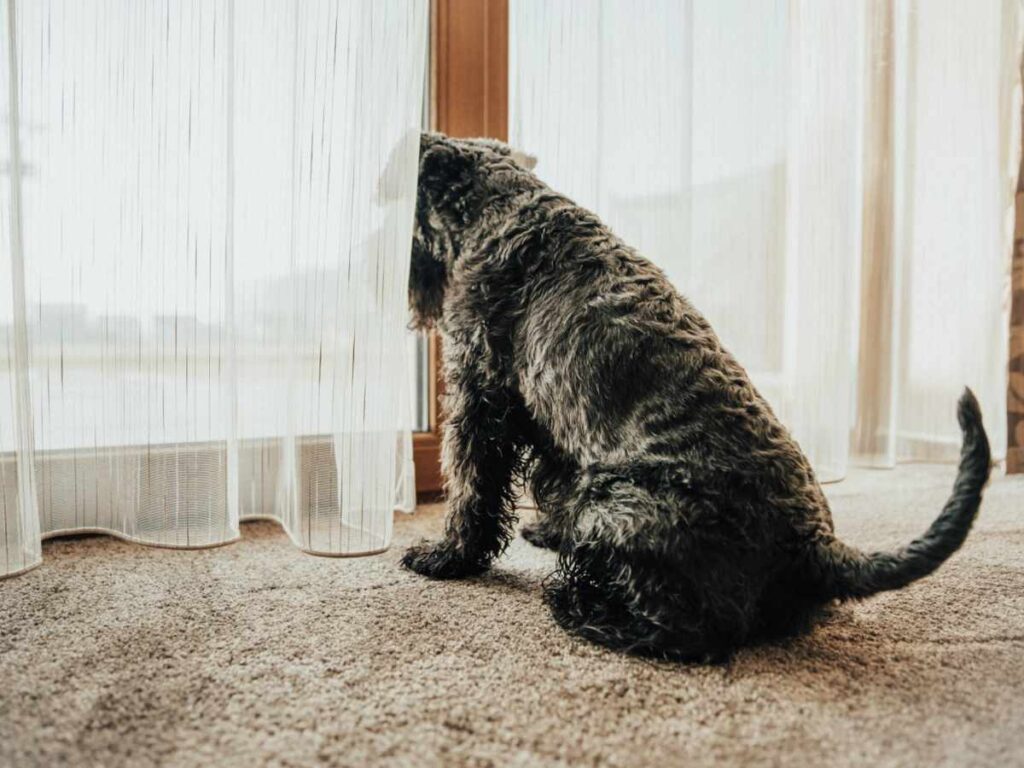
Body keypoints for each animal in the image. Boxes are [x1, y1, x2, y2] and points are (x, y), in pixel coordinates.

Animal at [401, 132, 991, 663]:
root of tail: (814, 546)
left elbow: (470, 487)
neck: (504, 207)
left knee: (687, 634)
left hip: (612, 509)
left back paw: (581, 608)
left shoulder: (480, 397)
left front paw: (446, 557)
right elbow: (546, 480)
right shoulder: (544, 420)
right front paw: (541, 530)